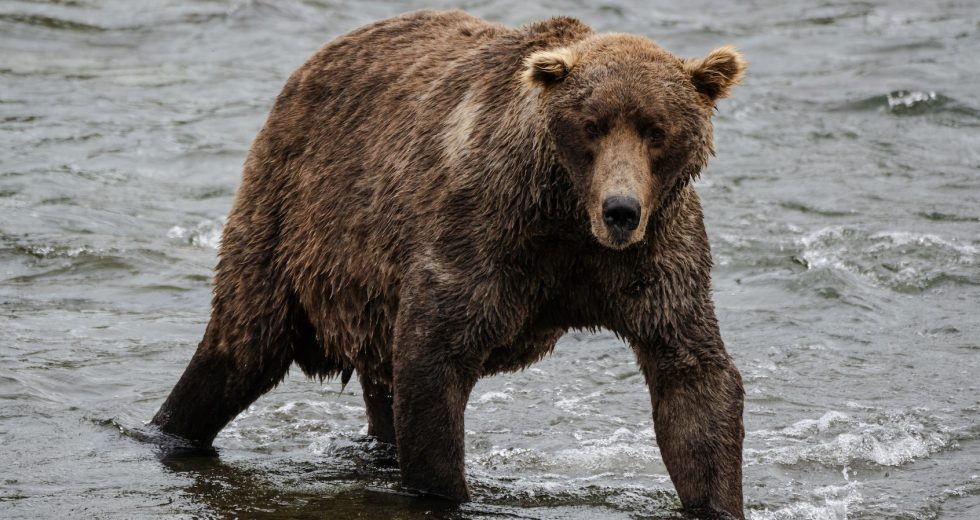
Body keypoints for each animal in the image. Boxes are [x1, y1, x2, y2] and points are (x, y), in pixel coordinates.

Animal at [150, 10, 747, 520]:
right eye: (592, 125)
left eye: (655, 129)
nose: (620, 210)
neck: (566, 216)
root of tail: (319, 58)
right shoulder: (484, 233)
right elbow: (434, 360)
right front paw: (446, 493)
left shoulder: (654, 257)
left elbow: (692, 378)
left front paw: (716, 499)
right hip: (295, 220)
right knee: (241, 344)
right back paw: (168, 431)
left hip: (369, 298)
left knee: (378, 381)